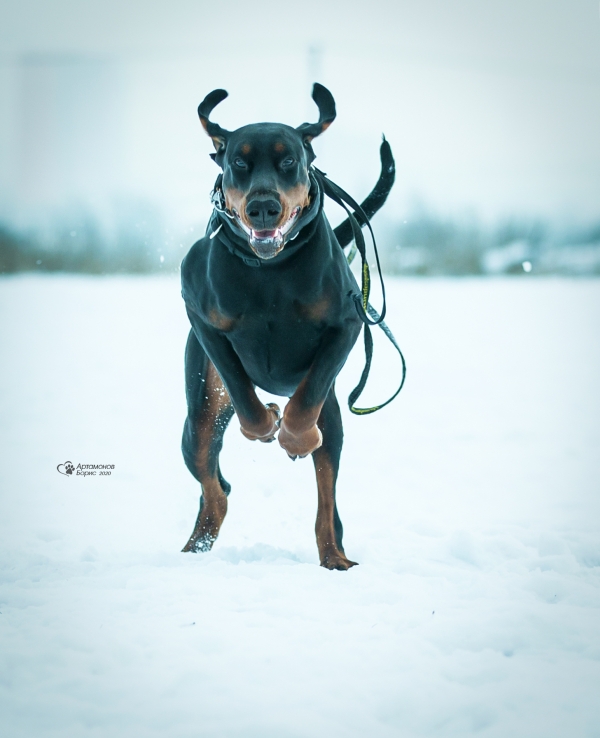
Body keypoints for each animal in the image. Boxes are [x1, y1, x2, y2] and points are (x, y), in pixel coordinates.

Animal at [180, 84, 394, 569]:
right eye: (238, 163)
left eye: (289, 161)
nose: (263, 207)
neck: (270, 269)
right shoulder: (201, 318)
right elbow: (245, 397)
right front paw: (266, 422)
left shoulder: (346, 324)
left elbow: (303, 405)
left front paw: (294, 437)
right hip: (198, 417)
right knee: (215, 486)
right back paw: (195, 549)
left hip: (333, 420)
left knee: (326, 498)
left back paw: (335, 557)